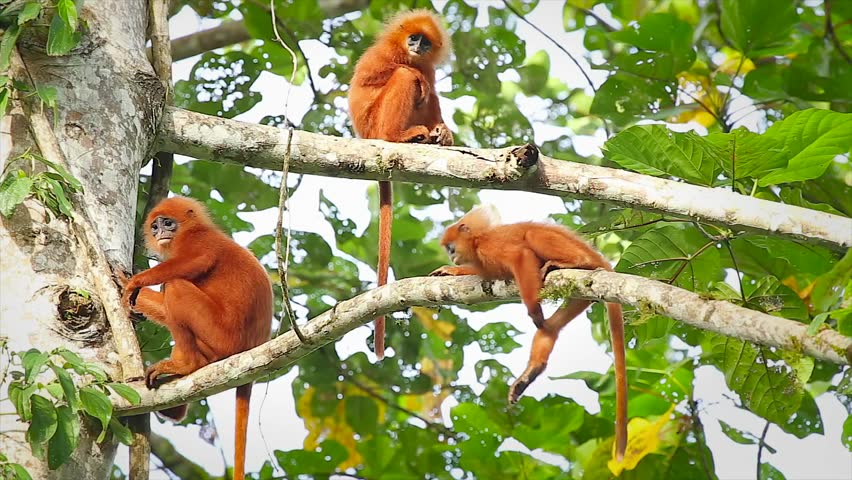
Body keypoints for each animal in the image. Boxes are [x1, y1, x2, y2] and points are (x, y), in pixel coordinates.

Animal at [346, 9, 452, 360]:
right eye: (413, 38)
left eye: (426, 42)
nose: (417, 47)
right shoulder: (380, 56)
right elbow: (377, 76)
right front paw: (412, 72)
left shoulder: (428, 64)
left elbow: (428, 82)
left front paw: (443, 132)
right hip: (377, 124)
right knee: (407, 79)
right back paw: (401, 135)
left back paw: (434, 136)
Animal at [432, 206, 624, 462]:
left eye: (451, 248)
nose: (452, 257)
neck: (478, 241)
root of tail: (599, 258)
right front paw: (450, 271)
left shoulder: (489, 247)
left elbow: (521, 255)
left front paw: (534, 310)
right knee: (551, 328)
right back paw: (532, 370)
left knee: (533, 236)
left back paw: (571, 264)